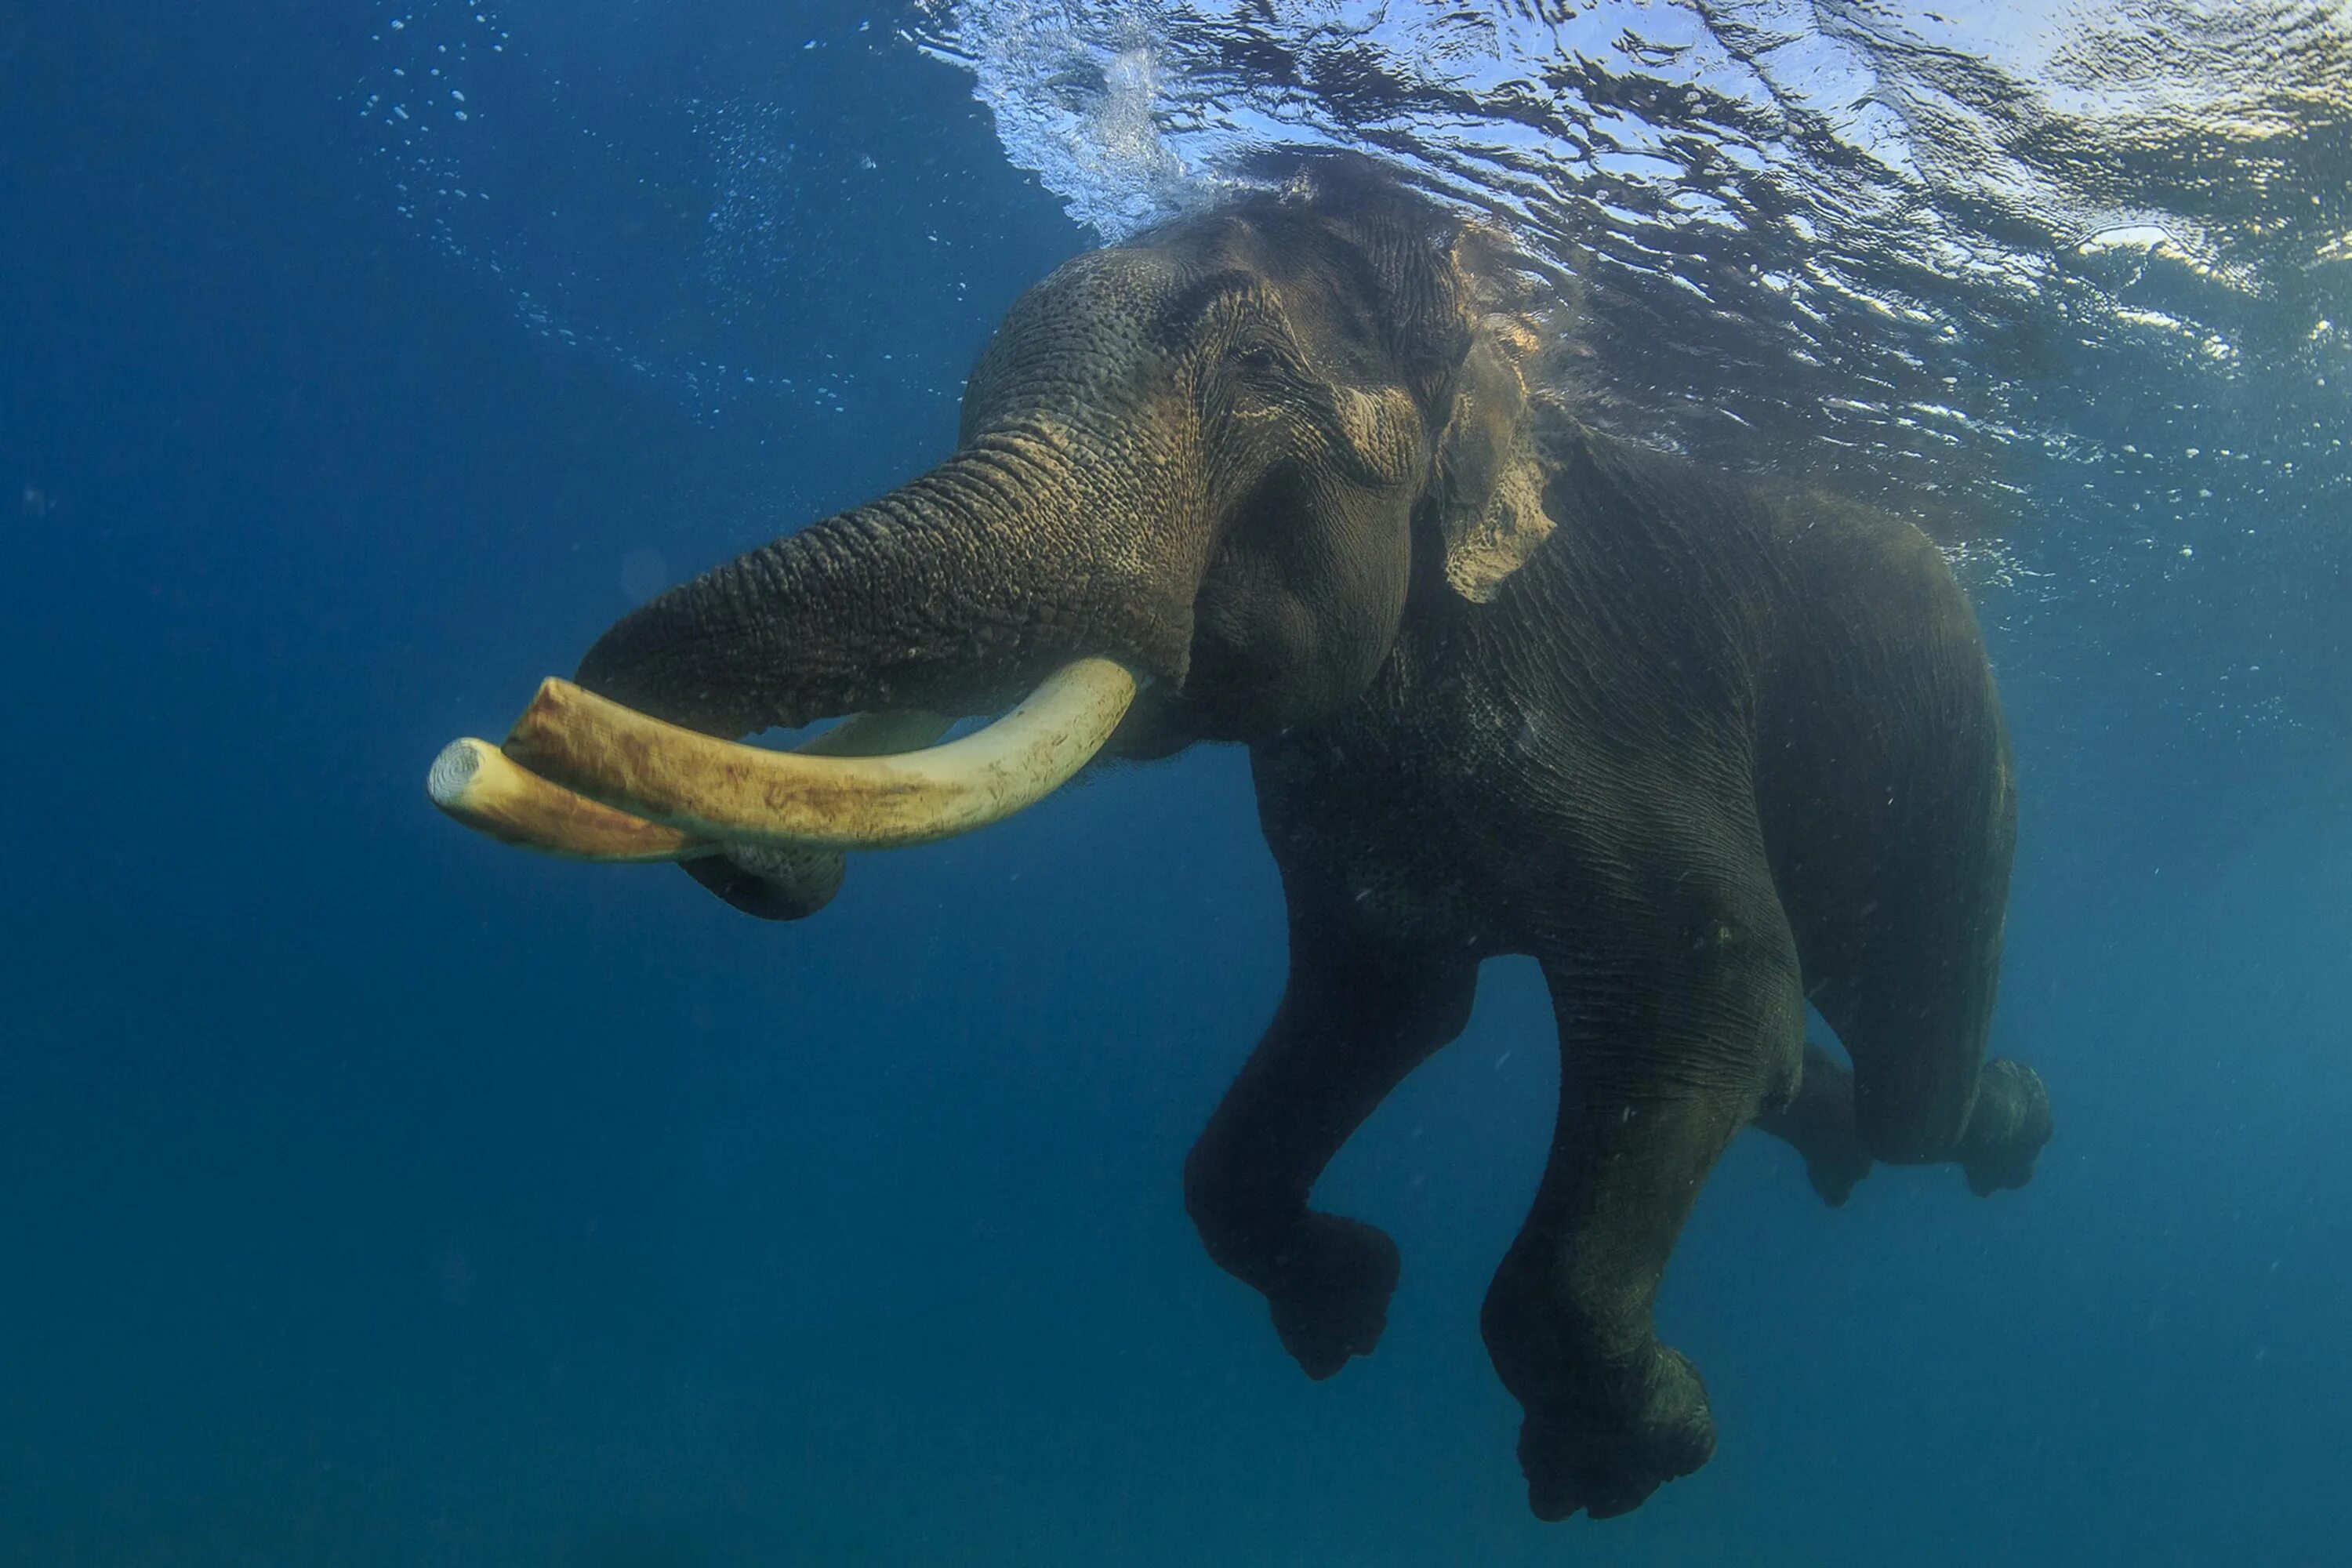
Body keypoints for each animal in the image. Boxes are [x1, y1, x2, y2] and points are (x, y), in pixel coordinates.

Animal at [433, 159, 2051, 1523]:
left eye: (1256, 376)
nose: (501, 743)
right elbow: (1374, 1016)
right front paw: (1352, 1309)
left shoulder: (1613, 703)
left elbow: (1717, 991)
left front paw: (1615, 1470)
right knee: (1850, 1090)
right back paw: (1843, 1125)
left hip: (1955, 754)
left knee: (1909, 1078)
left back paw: (2008, 1123)